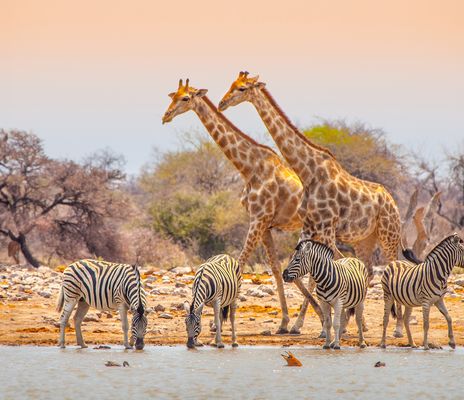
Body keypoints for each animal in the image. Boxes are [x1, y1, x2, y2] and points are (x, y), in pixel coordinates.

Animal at [161, 79, 324, 334]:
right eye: (173, 96)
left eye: (185, 98)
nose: (166, 116)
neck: (249, 168)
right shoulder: (264, 224)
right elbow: (274, 269)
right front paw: (283, 322)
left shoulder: (258, 219)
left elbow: (240, 264)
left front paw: (219, 320)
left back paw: (308, 324)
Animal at [218, 72, 420, 338]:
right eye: (231, 84)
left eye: (241, 88)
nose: (222, 103)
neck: (308, 172)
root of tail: (392, 200)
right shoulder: (312, 228)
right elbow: (315, 272)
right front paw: (326, 324)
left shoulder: (326, 229)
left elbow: (330, 270)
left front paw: (331, 323)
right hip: (365, 239)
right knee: (367, 270)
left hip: (389, 235)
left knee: (393, 267)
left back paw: (395, 328)